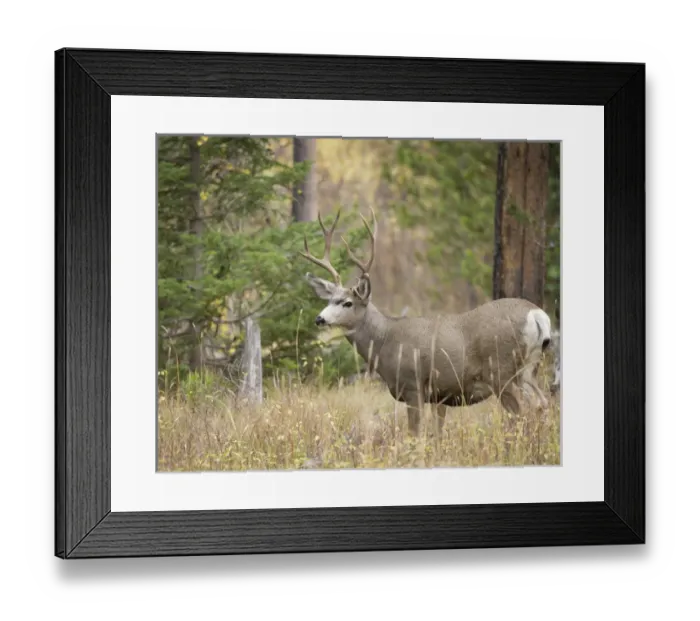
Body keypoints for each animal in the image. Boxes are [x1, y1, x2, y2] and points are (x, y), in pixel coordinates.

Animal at [299, 207, 554, 438]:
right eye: (329, 299)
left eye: (347, 303)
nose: (319, 319)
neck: (385, 341)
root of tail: (537, 315)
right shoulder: (440, 395)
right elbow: (437, 433)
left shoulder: (413, 386)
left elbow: (415, 434)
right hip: (530, 368)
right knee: (542, 403)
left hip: (502, 370)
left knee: (522, 410)